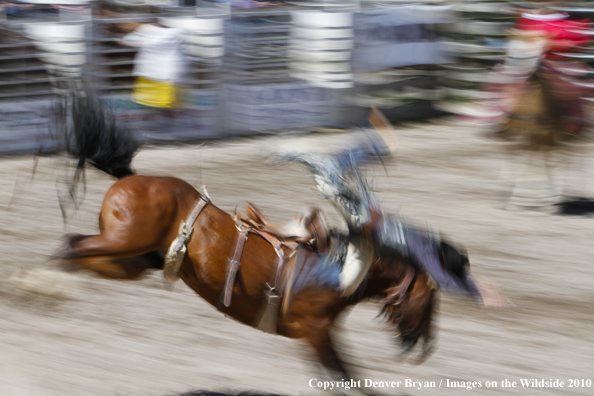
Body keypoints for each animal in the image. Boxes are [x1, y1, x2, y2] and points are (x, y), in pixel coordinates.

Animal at [59, 93, 434, 384]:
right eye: (430, 300)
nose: (424, 347)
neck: (336, 269)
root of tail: (128, 178)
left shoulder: (316, 336)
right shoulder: (315, 332)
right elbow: (346, 378)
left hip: (138, 257)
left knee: (82, 253)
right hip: (125, 243)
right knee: (73, 245)